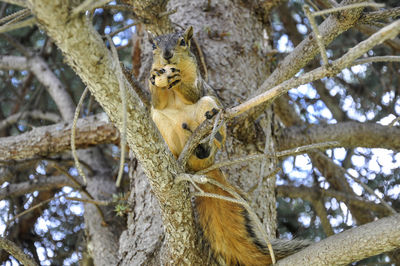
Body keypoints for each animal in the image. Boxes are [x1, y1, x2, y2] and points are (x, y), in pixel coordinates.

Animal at [148, 26, 308, 264]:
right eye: (154, 45)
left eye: (182, 42)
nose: (167, 55)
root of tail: (201, 168)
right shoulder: (158, 100)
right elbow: (157, 101)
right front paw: (155, 80)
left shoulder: (197, 80)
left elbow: (193, 92)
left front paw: (178, 80)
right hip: (159, 121)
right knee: (163, 123)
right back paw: (177, 155)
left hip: (210, 110)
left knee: (210, 121)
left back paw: (206, 145)